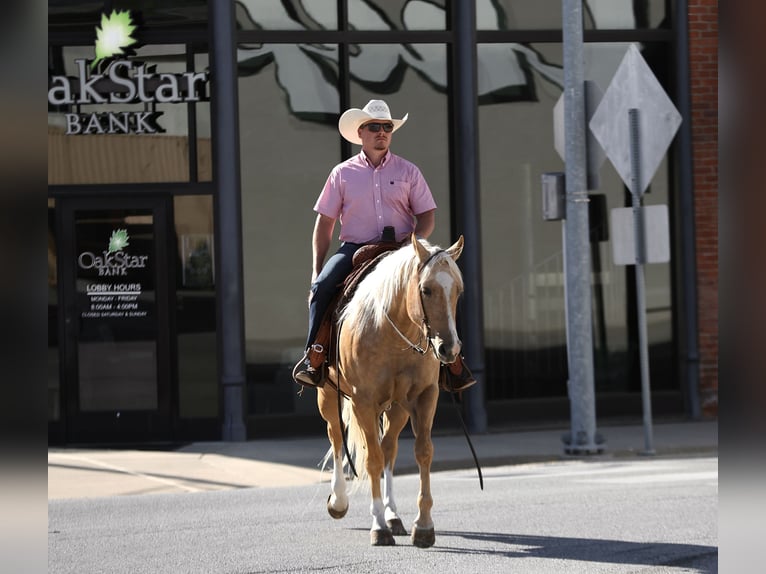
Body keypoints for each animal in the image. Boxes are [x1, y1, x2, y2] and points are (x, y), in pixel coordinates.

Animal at [316, 234, 464, 548]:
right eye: (426, 289)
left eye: (458, 290)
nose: (450, 349)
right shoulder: (362, 401)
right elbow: (371, 459)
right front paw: (378, 526)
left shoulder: (425, 396)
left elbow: (423, 452)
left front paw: (423, 525)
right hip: (327, 396)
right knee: (337, 438)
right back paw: (339, 501)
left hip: (397, 408)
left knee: (389, 450)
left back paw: (394, 515)